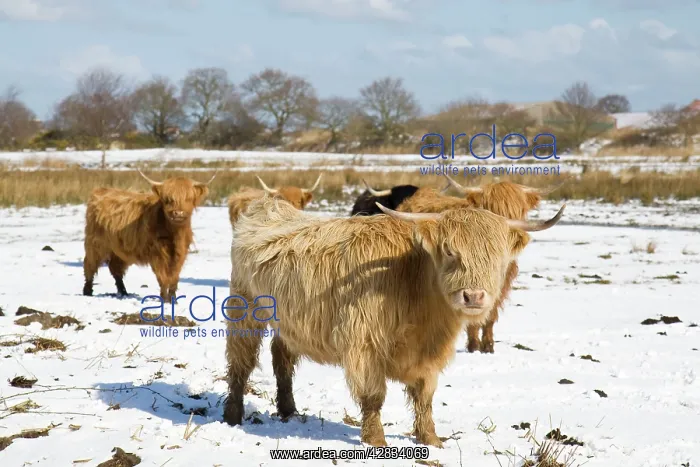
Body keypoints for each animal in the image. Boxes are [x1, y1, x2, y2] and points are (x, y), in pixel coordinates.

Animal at [82, 170, 216, 301]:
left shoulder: (181, 253)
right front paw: (165, 299)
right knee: (90, 265)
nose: (178, 213)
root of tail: (100, 191)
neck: (175, 235)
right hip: (95, 243)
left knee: (115, 268)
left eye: (188, 198)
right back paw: (87, 291)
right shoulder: (157, 253)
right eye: (167, 199)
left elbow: (174, 276)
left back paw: (124, 293)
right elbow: (163, 276)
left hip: (119, 249)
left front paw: (173, 299)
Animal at [223, 195, 565, 447]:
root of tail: (268, 205)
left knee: (281, 356)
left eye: (497, 257)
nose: (473, 296)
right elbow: (374, 397)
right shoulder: (364, 342)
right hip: (244, 307)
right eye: (450, 251)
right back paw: (233, 415)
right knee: (241, 361)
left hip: (286, 320)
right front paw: (376, 441)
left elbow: (425, 398)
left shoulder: (428, 356)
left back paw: (288, 410)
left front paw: (431, 439)